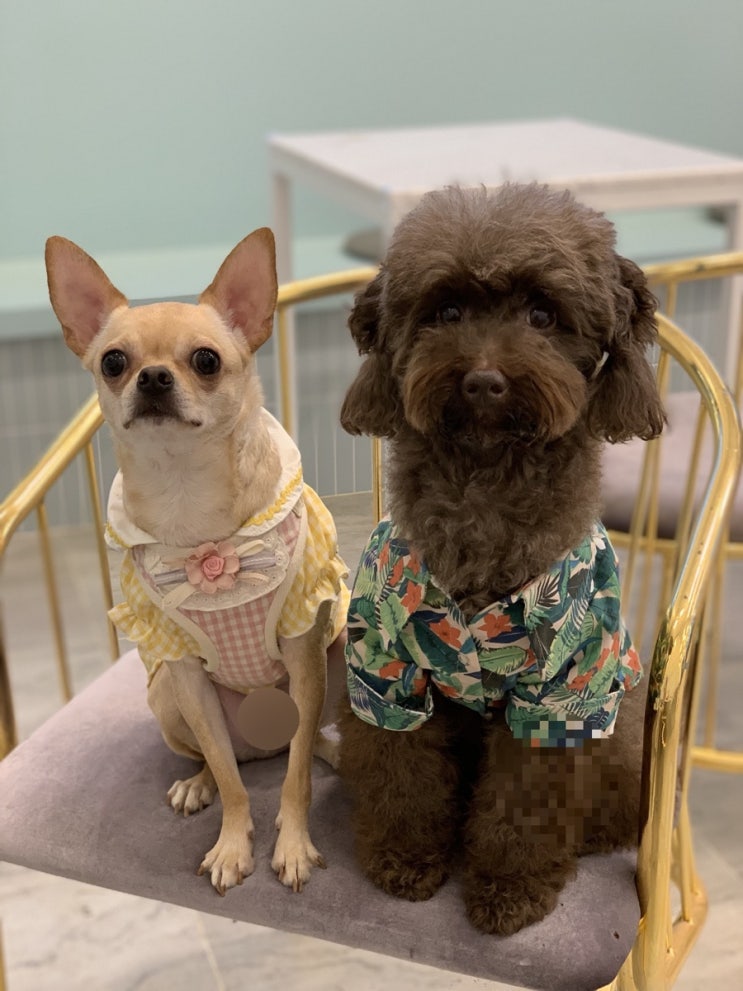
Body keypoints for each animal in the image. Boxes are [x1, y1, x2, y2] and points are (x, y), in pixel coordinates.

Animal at [45, 229, 349, 895]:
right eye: (113, 362)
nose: (154, 377)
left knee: (304, 744)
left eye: (206, 360)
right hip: (167, 697)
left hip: (334, 663)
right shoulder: (181, 667)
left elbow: (296, 779)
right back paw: (199, 784)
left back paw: (334, 751)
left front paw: (292, 844)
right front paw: (234, 844)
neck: (189, 500)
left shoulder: (304, 648)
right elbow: (235, 784)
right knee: (222, 758)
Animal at [337, 183, 665, 935]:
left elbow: (524, 802)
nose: (484, 381)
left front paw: (509, 888)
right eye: (445, 310)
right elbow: (403, 774)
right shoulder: (385, 676)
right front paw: (404, 858)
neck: (483, 494)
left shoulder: (559, 702)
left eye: (543, 314)